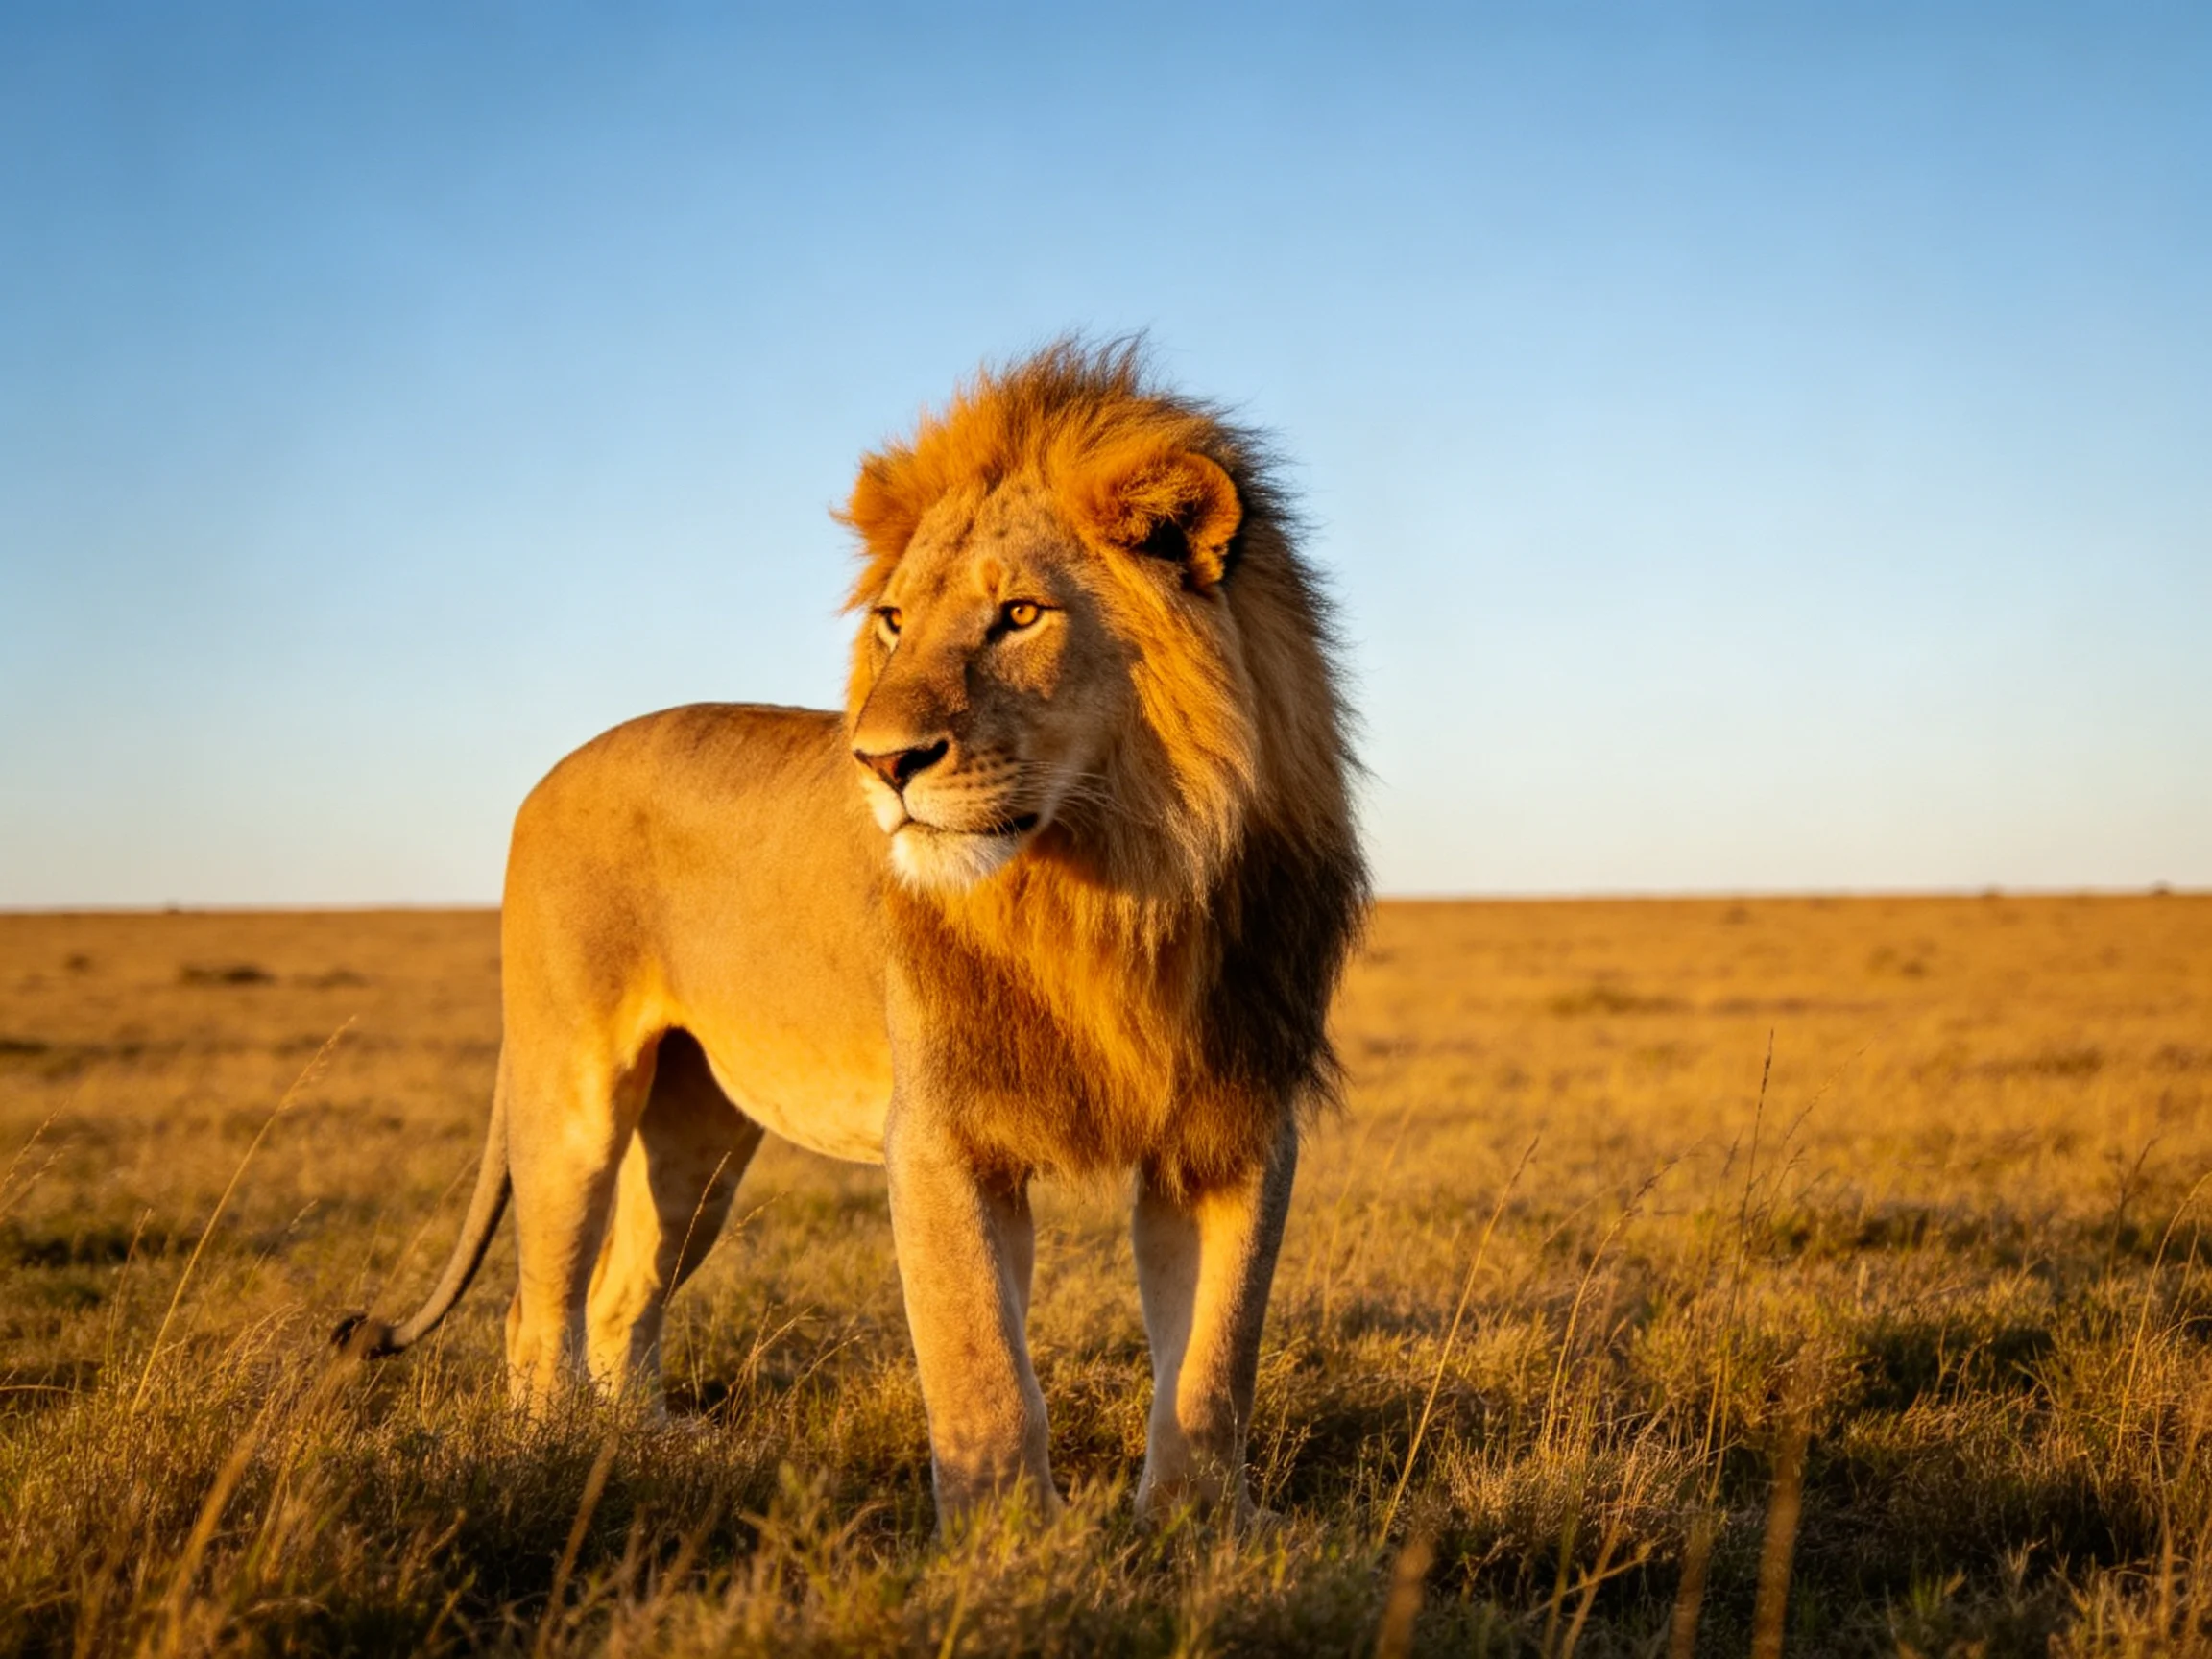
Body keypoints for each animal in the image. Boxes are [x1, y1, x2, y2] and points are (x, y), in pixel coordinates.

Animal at [337, 340, 1368, 1527]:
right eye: (892, 622)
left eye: (1021, 615)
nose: (882, 763)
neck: (1112, 889)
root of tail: (548, 775)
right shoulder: (941, 1131)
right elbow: (979, 1364)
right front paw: (1007, 1541)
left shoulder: (1231, 1118)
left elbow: (1215, 1356)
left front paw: (1201, 1529)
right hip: (573, 1091)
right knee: (539, 1302)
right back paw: (553, 1457)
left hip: (702, 1135)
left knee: (620, 1291)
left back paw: (651, 1447)